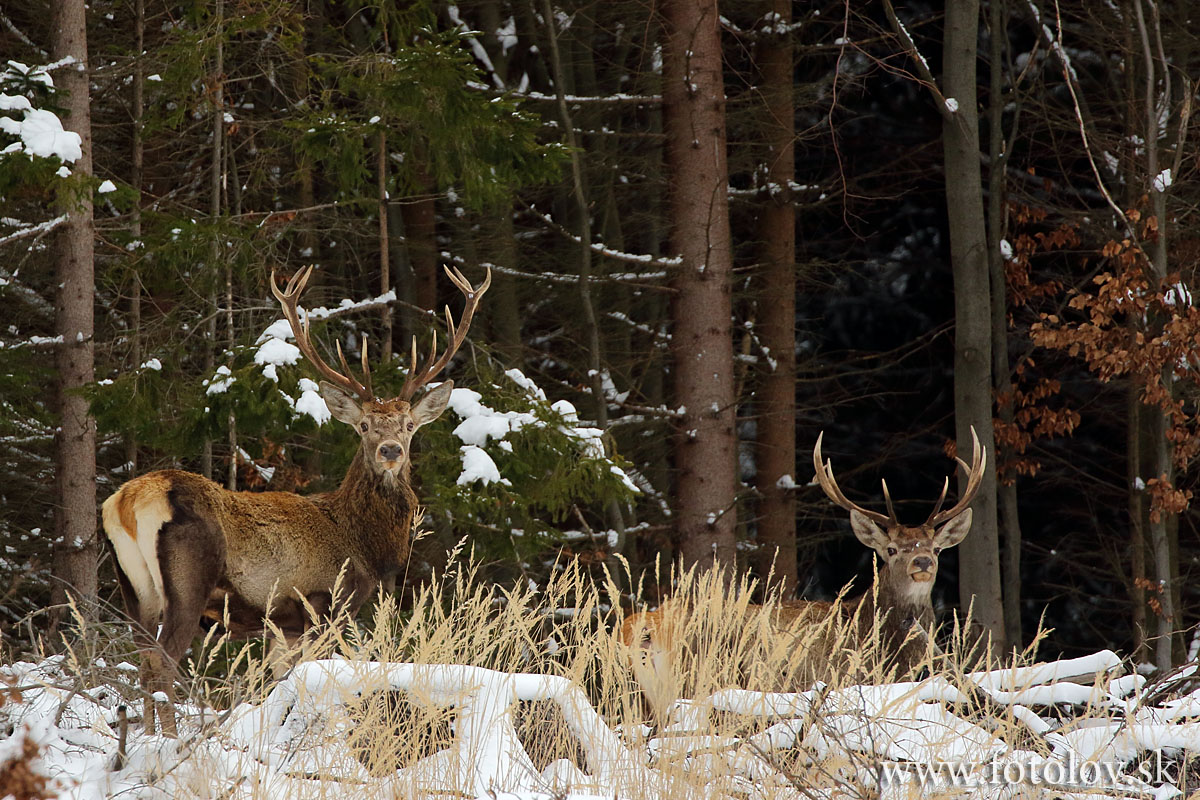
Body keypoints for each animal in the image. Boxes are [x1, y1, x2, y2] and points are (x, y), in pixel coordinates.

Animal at [100, 263, 489, 734]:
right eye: (364, 426)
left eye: (409, 425)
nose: (390, 451)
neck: (365, 545)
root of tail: (129, 502)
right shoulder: (325, 603)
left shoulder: (282, 626)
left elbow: (278, 682)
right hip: (188, 580)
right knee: (162, 664)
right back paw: (168, 741)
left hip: (134, 590)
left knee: (142, 663)